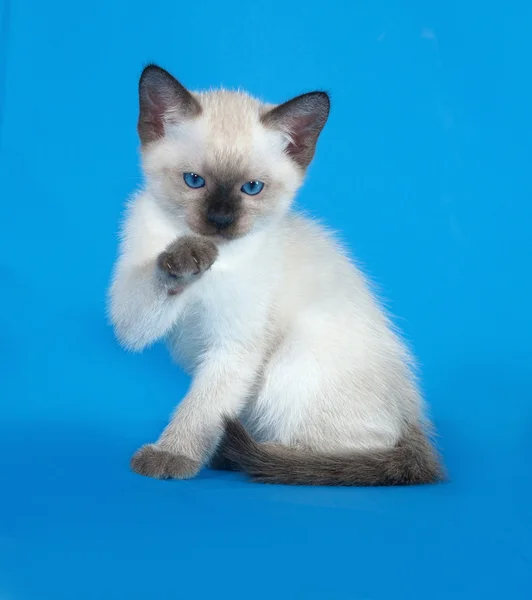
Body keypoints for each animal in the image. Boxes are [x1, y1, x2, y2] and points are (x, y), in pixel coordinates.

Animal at [108, 63, 444, 486]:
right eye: (194, 181)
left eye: (251, 188)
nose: (220, 221)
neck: (220, 260)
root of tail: (414, 421)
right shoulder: (131, 317)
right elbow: (151, 296)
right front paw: (186, 259)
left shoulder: (234, 349)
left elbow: (200, 410)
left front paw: (171, 455)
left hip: (292, 361)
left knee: (345, 455)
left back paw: (257, 455)